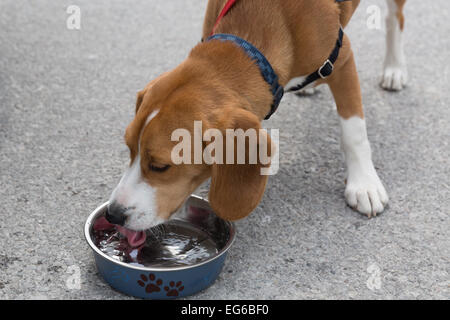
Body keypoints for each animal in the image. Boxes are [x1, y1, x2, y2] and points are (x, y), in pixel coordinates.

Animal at [105, 0, 408, 232]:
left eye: (160, 167)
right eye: (129, 149)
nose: (113, 214)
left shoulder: (342, 61)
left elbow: (353, 132)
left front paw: (364, 184)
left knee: (395, 18)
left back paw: (394, 68)